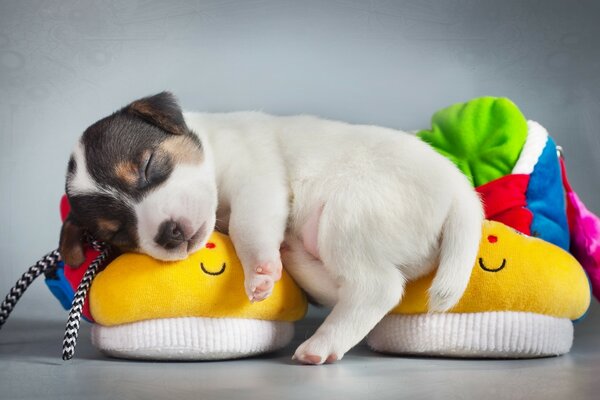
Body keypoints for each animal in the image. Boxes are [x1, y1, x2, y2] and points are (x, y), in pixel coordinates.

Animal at [59, 92, 482, 364]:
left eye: (148, 166)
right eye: (117, 232)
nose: (169, 233)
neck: (212, 150)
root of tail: (459, 191)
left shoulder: (255, 181)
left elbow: (248, 227)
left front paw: (259, 271)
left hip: (348, 216)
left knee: (378, 288)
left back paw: (321, 344)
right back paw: (295, 259)